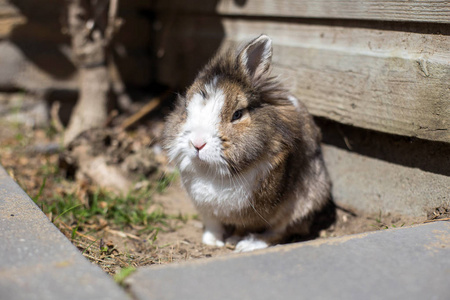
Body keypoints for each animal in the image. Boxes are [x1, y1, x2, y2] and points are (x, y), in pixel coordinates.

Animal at [163, 34, 332, 252]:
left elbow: (246, 227)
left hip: (302, 205)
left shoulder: (254, 212)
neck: (212, 171)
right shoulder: (205, 208)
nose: (197, 143)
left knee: (278, 233)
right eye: (185, 109)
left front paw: (235, 241)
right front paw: (211, 241)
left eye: (237, 114)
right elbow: (213, 224)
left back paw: (249, 245)